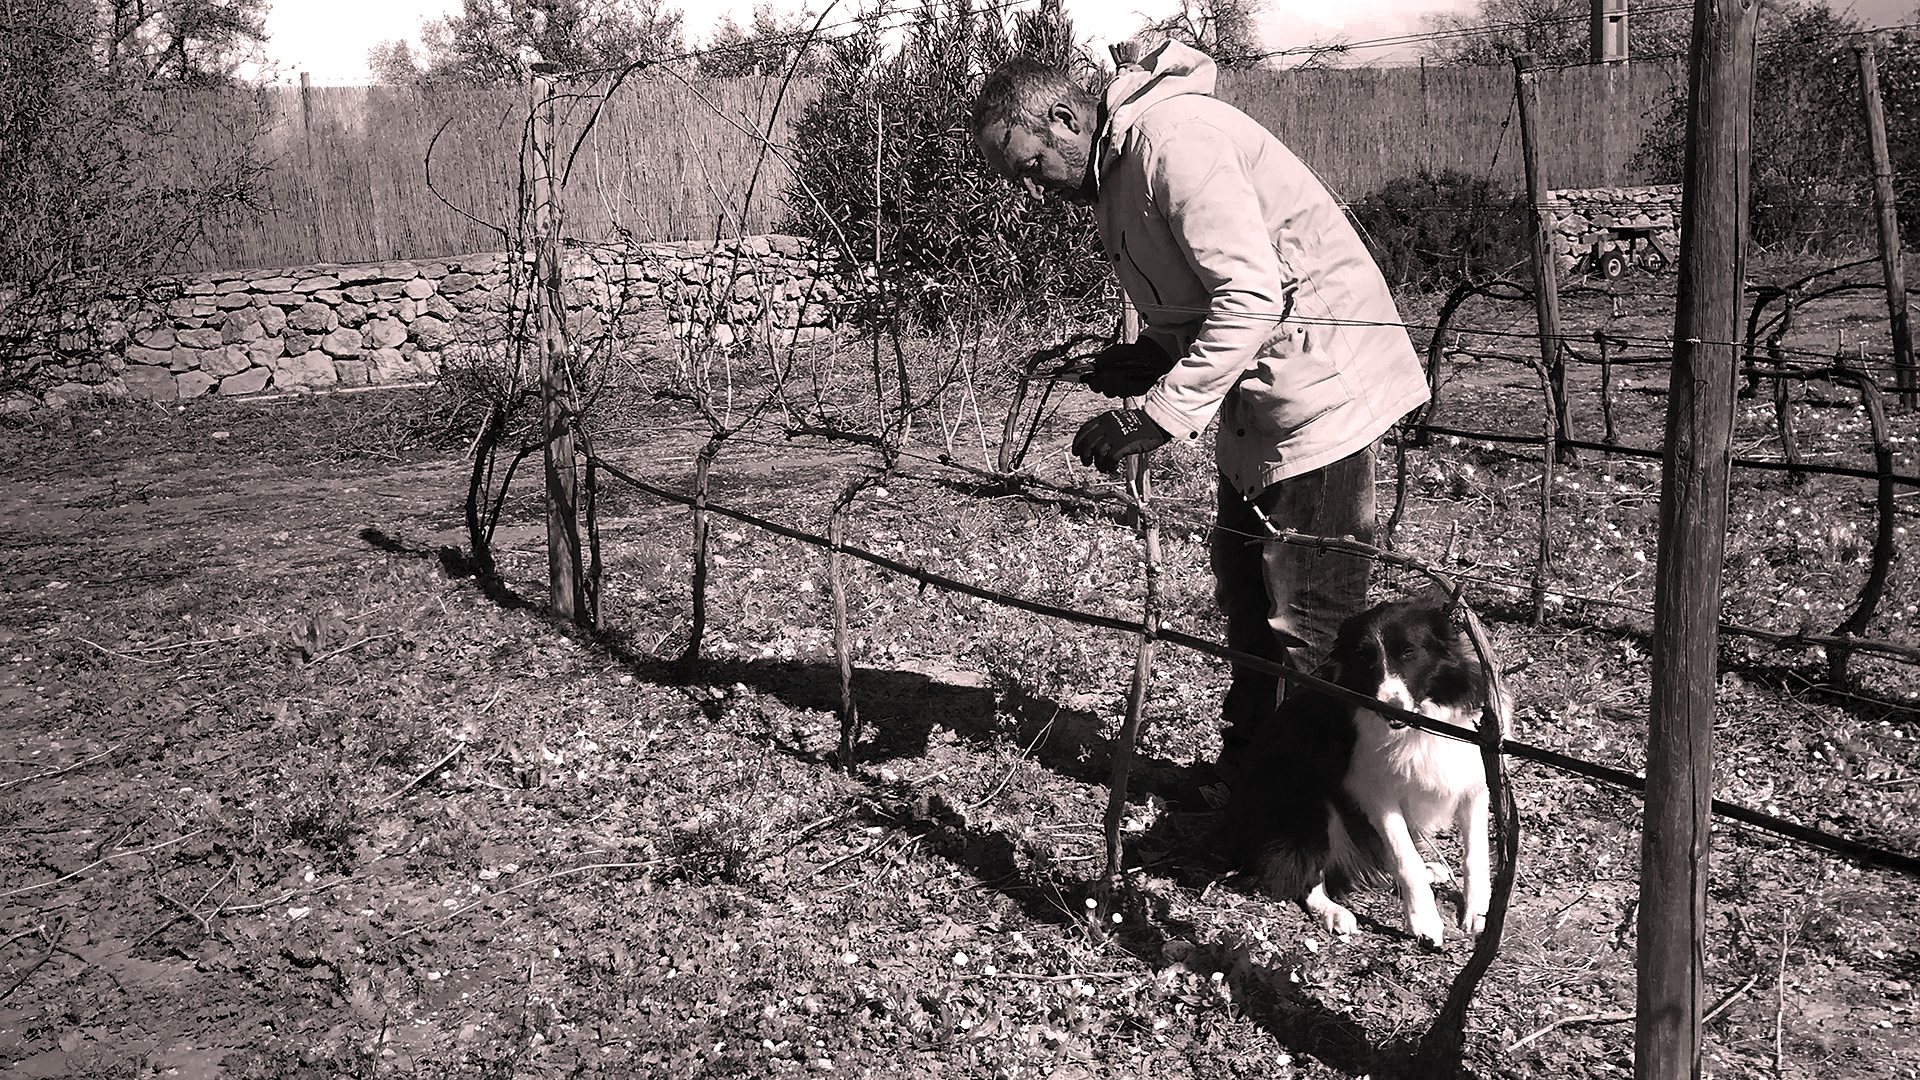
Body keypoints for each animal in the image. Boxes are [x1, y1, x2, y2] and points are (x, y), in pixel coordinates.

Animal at [1228, 595, 1512, 941]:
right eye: (1364, 658)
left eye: (1408, 652)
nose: (1391, 709)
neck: (1422, 720)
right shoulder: (1373, 790)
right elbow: (1405, 858)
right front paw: (1424, 921)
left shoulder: (1474, 779)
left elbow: (1475, 855)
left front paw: (1479, 912)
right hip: (1303, 796)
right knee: (1299, 875)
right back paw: (1334, 912)